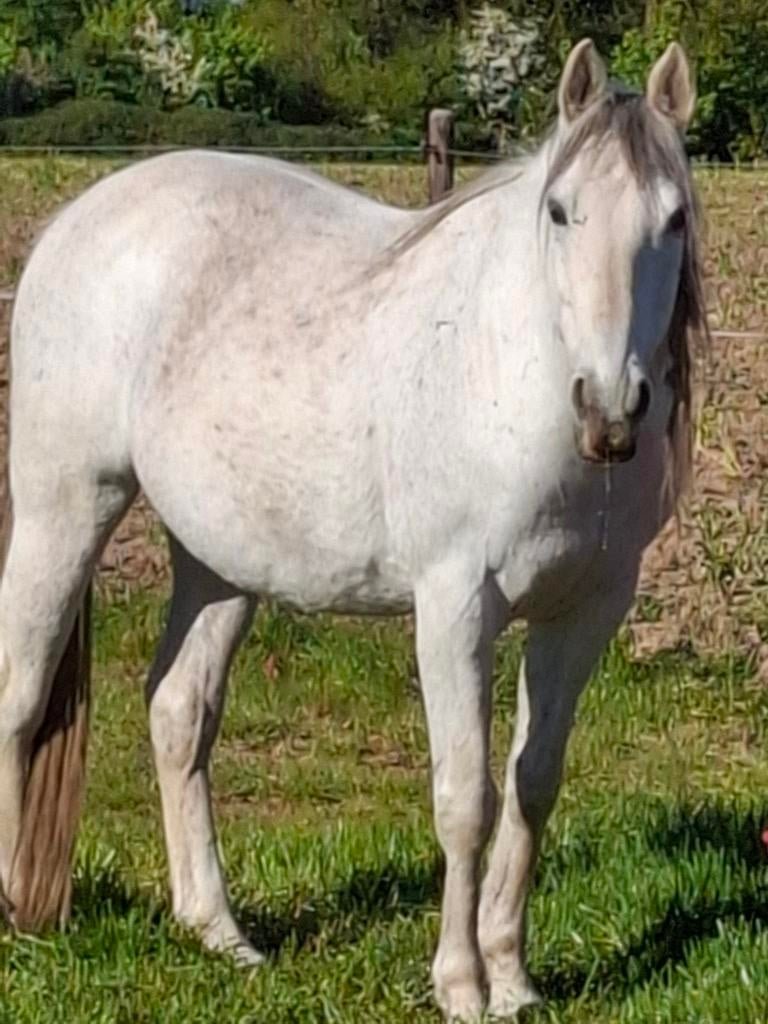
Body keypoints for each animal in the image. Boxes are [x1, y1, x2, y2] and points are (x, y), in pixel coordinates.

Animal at [0, 38, 705, 1021]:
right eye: (561, 212)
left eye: (674, 218)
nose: (609, 409)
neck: (508, 368)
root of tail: (78, 219)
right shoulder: (456, 605)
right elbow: (465, 799)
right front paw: (460, 984)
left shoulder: (587, 612)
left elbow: (532, 784)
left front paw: (514, 979)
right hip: (65, 506)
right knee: (20, 694)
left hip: (219, 563)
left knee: (179, 712)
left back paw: (219, 932)